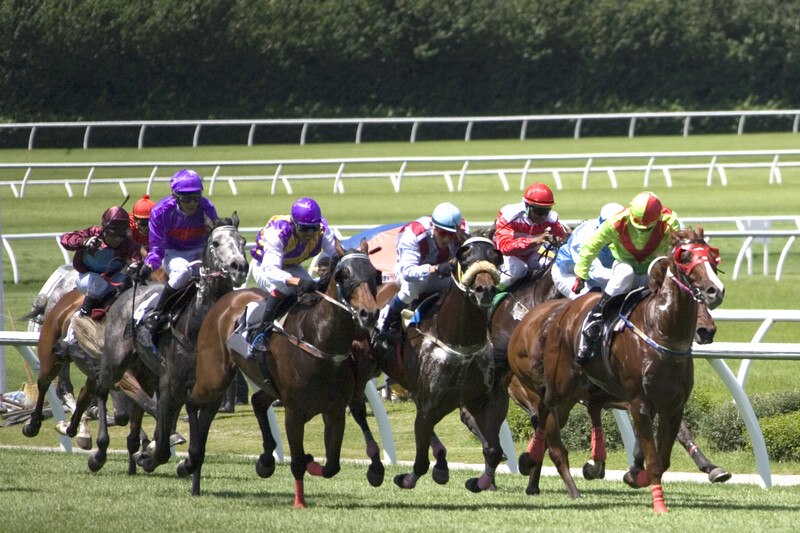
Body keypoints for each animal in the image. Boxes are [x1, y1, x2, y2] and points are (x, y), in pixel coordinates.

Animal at [91, 213, 247, 474]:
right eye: (215, 243)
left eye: (243, 242)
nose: (240, 267)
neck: (199, 328)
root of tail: (129, 288)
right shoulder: (170, 386)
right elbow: (163, 444)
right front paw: (148, 457)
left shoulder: (210, 393)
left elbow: (196, 446)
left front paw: (182, 462)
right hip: (115, 361)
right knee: (101, 388)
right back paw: (100, 451)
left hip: (147, 372)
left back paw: (133, 448)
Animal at [183, 241, 380, 508]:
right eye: (344, 275)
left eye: (374, 274)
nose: (369, 314)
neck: (321, 342)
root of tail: (226, 300)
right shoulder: (294, 411)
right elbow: (297, 462)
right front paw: (300, 501)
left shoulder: (335, 411)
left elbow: (332, 466)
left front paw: (311, 462)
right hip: (214, 376)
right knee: (192, 402)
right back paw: (190, 460)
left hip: (266, 383)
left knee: (256, 401)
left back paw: (263, 461)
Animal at [374, 237, 506, 490]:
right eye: (465, 259)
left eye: (495, 258)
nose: (485, 290)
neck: (460, 345)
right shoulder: (428, 405)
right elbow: (420, 461)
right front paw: (407, 478)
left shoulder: (479, 400)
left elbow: (493, 450)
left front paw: (480, 482)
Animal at [510, 228, 728, 512]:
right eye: (685, 257)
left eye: (712, 257)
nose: (715, 291)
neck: (660, 331)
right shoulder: (638, 402)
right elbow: (654, 460)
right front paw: (658, 503)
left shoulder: (672, 405)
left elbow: (664, 456)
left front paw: (634, 474)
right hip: (557, 384)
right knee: (547, 418)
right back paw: (539, 466)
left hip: (571, 395)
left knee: (554, 421)